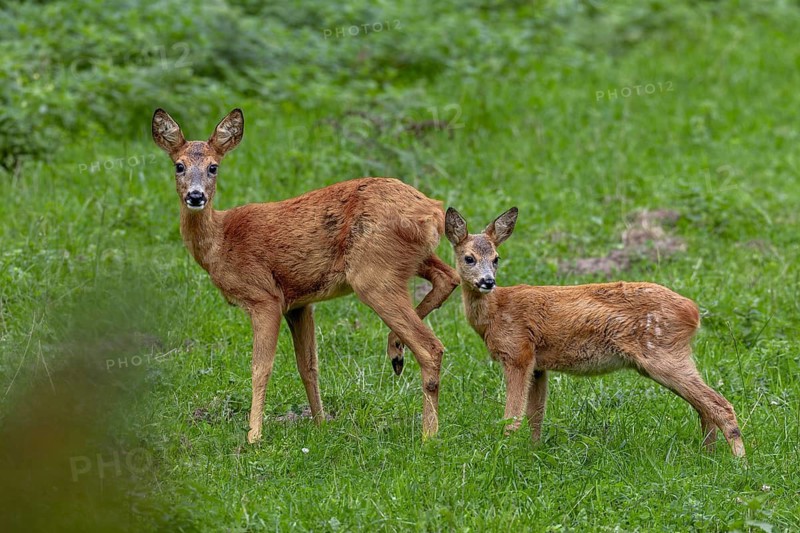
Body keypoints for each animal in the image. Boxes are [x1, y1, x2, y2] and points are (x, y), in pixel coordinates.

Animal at [151, 108, 460, 443]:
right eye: (179, 165)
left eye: (213, 167)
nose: (196, 196)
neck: (221, 242)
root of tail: (433, 210)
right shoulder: (299, 303)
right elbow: (308, 365)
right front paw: (320, 423)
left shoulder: (264, 297)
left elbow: (261, 367)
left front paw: (254, 435)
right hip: (407, 260)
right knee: (449, 277)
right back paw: (395, 350)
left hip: (374, 273)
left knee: (431, 347)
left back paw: (428, 434)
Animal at [444, 207, 746, 457]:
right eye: (469, 258)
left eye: (497, 258)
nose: (487, 281)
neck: (496, 312)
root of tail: (693, 312)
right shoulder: (539, 364)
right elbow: (535, 416)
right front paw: (533, 451)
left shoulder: (518, 353)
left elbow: (513, 417)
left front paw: (504, 452)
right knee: (704, 407)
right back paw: (708, 456)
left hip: (662, 353)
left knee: (719, 405)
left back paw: (739, 462)